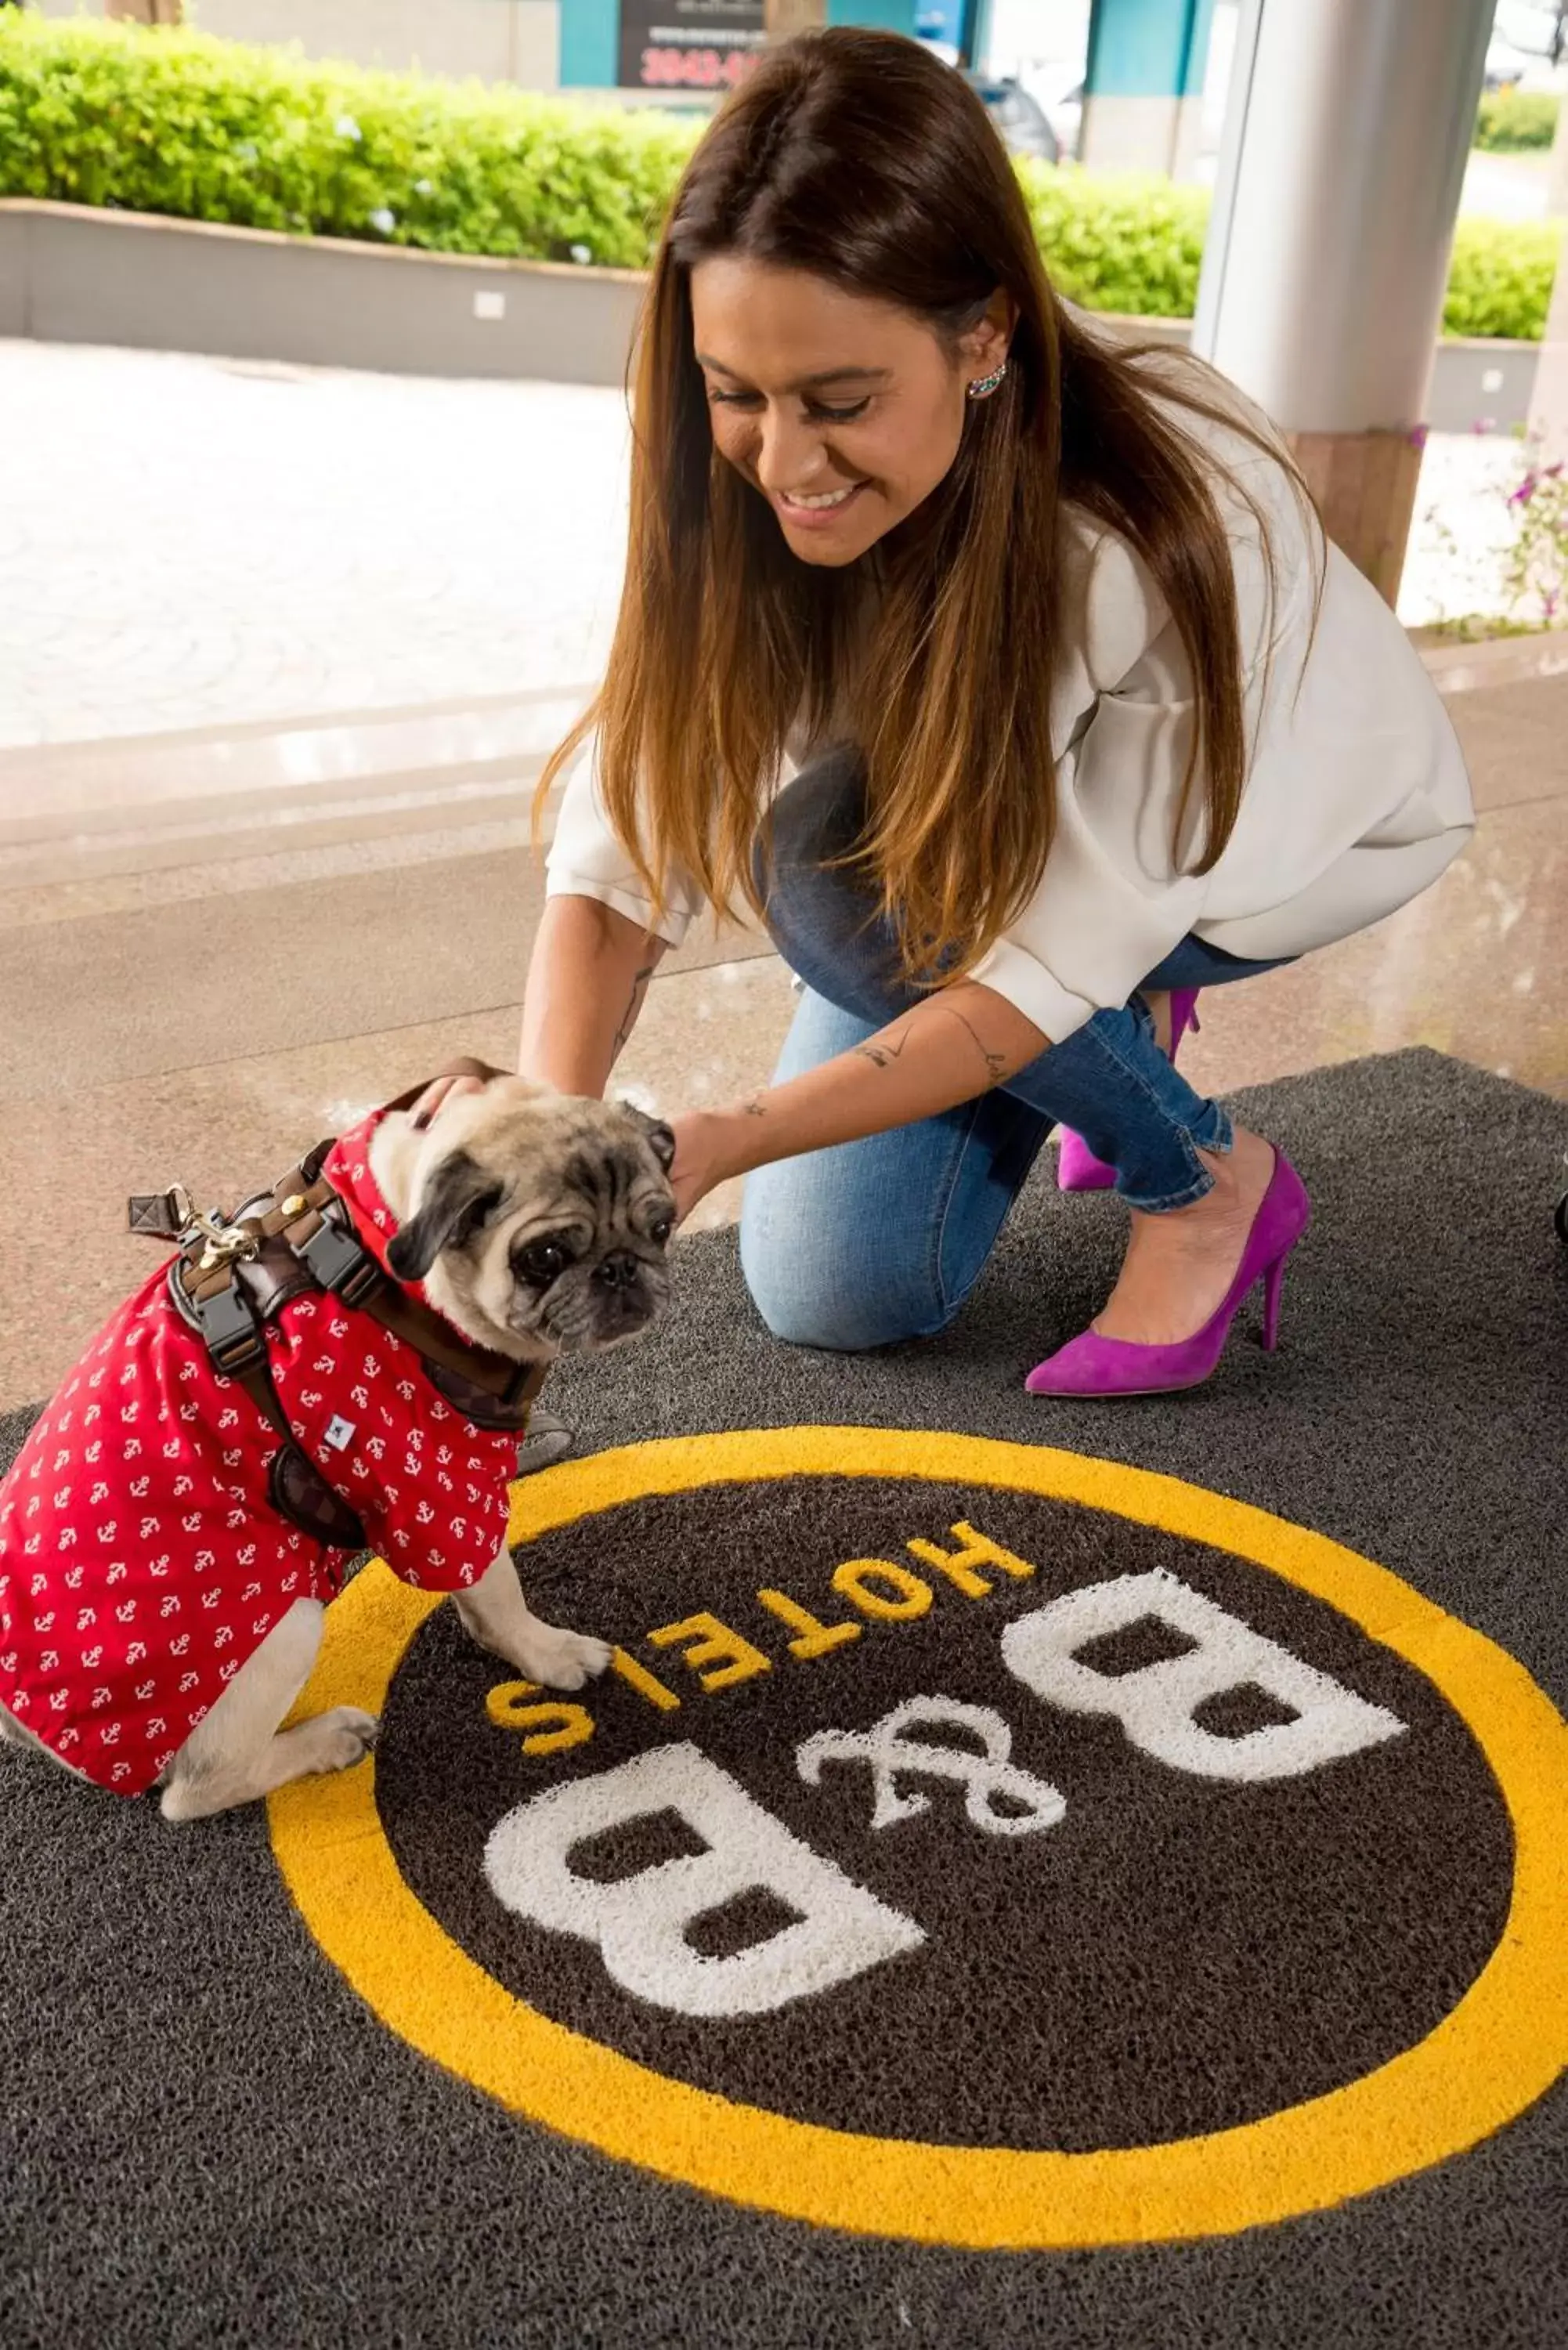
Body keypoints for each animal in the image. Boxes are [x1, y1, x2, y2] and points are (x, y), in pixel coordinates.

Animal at [0, 1076, 677, 1824]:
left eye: (662, 1227)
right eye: (545, 1258)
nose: (622, 1270)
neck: (385, 1242)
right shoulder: (433, 1487)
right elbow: (498, 1593)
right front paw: (547, 1654)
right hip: (288, 1629)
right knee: (192, 1793)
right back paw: (326, 1741)